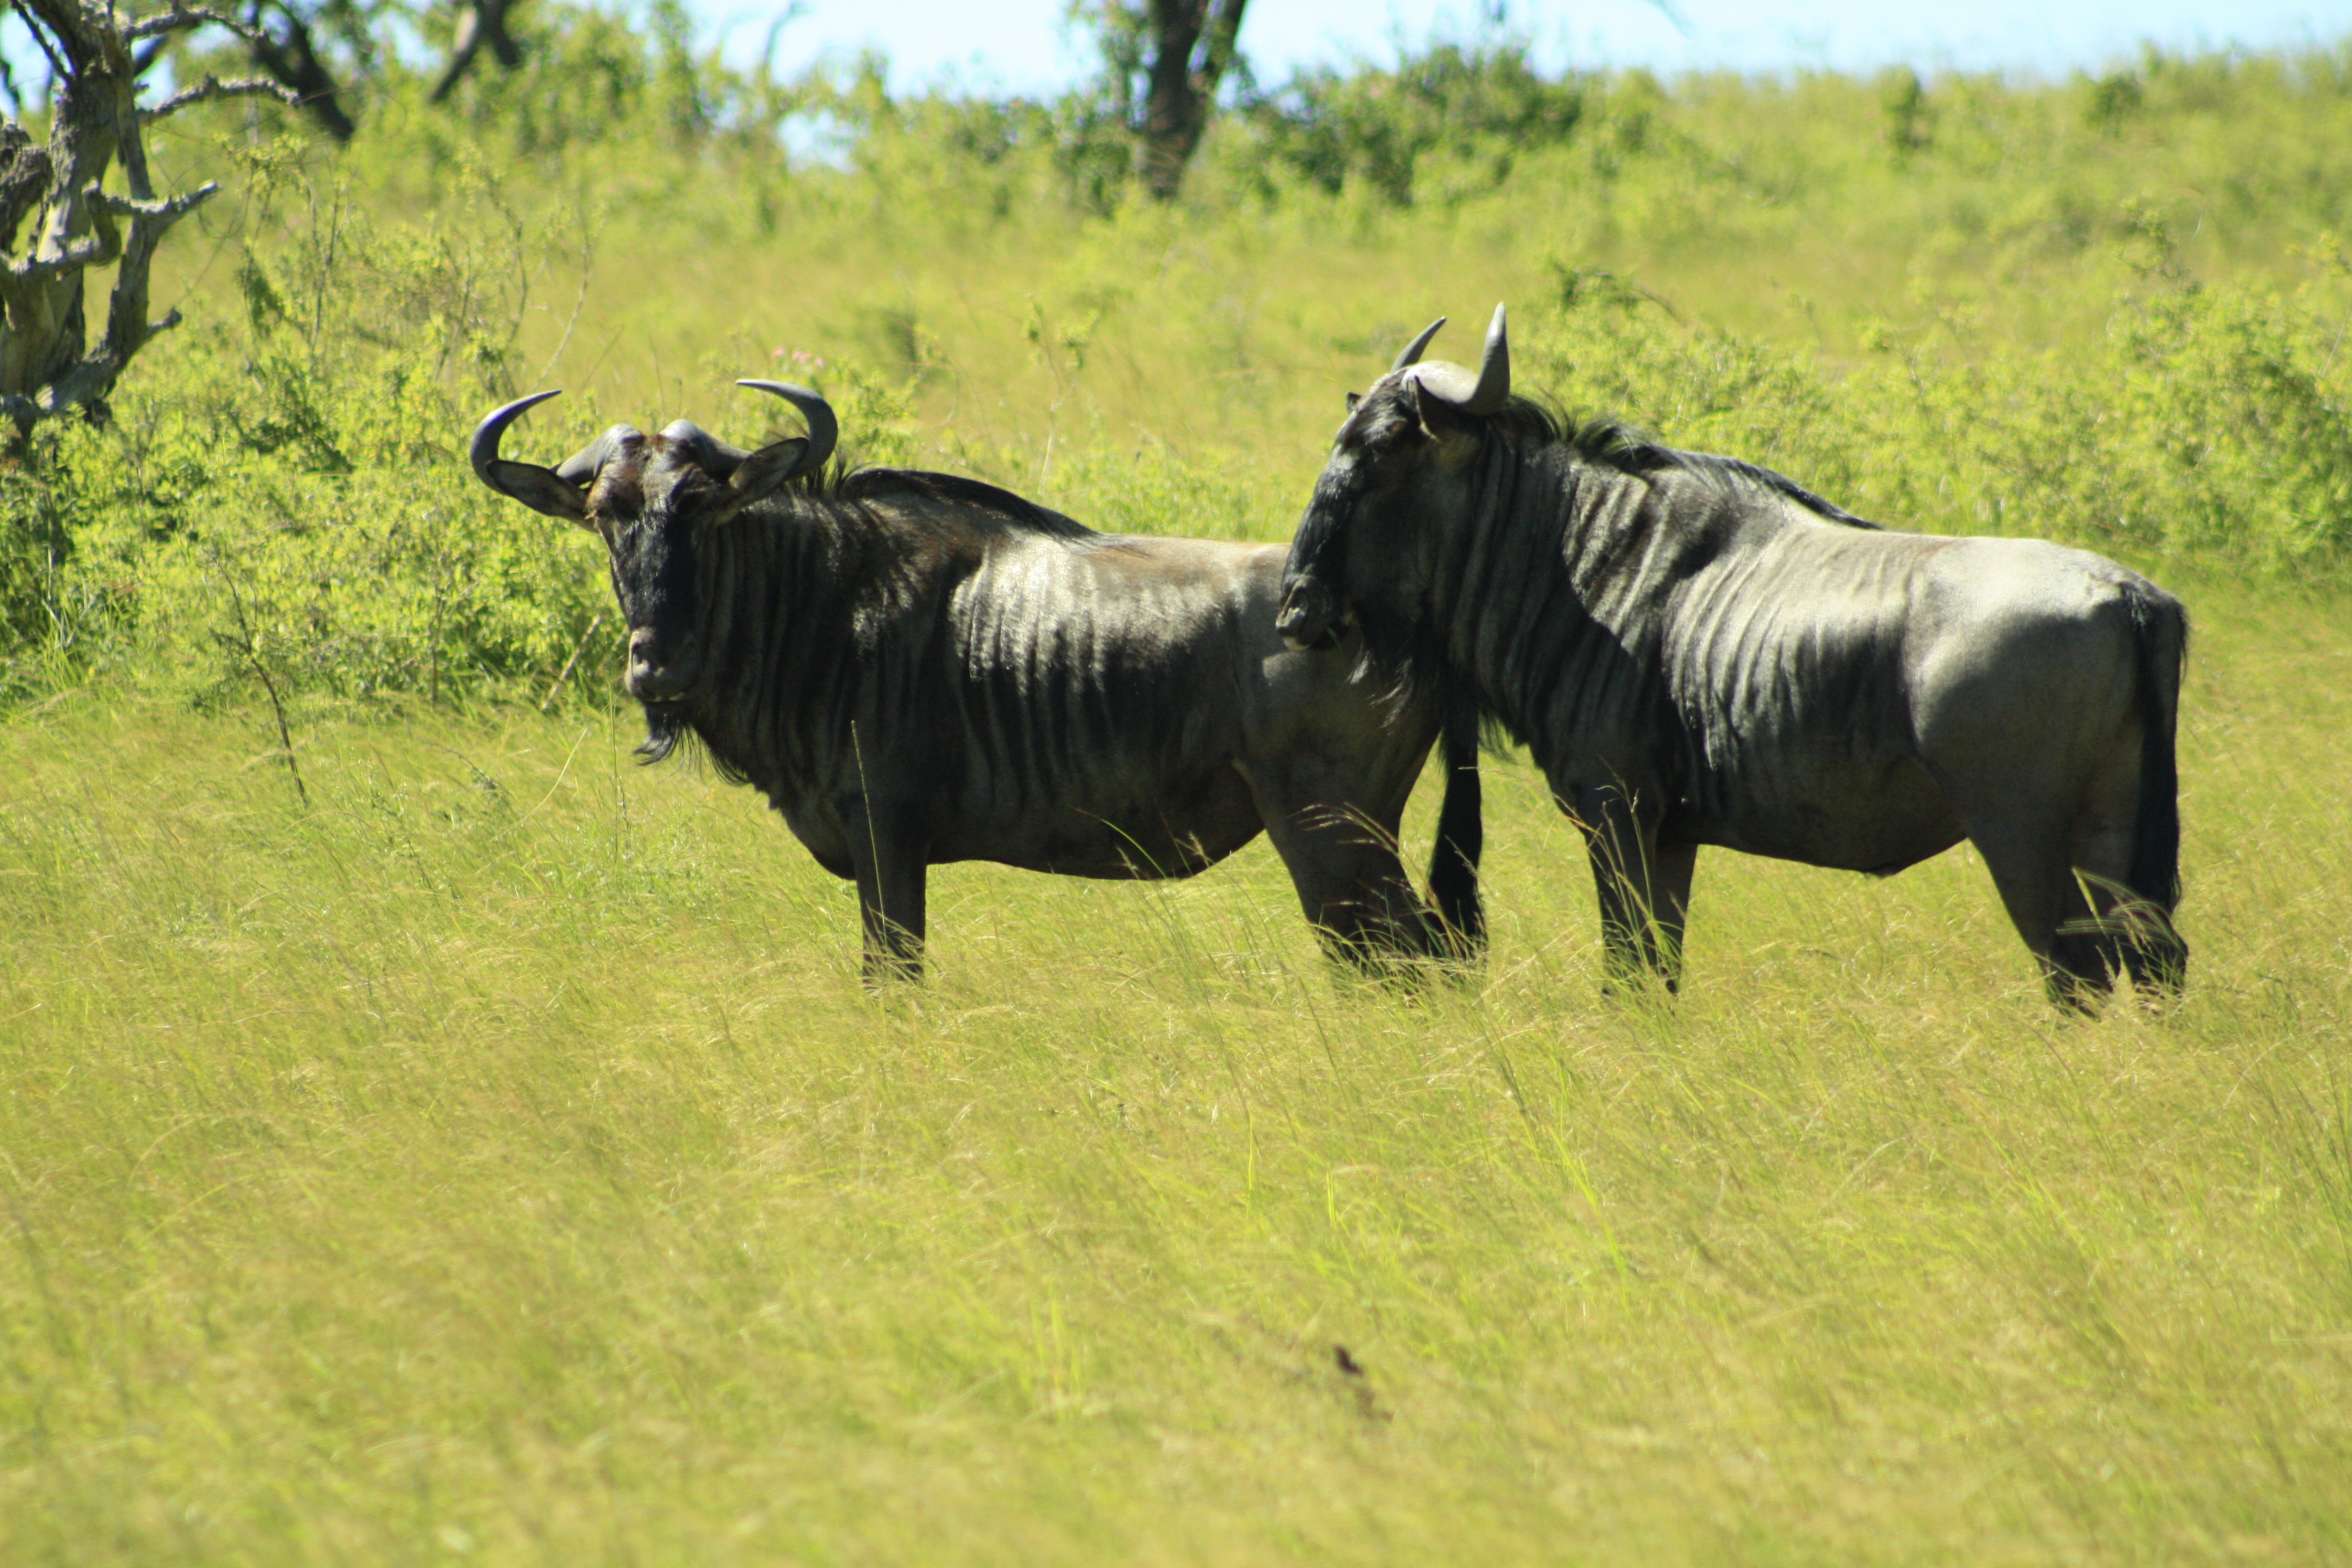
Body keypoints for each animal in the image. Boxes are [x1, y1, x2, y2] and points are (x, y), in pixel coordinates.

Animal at [469, 382, 1484, 982]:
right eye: (605, 515)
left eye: (702, 506)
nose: (658, 665)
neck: (827, 604)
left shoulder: (887, 834)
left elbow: (893, 977)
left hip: (1330, 840)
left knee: (1408, 963)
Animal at [1274, 306, 2188, 1009]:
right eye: (1341, 438)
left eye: (1385, 449)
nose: (1294, 609)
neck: (1595, 562)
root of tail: (2127, 594)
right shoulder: (1672, 836)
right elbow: (1658, 976)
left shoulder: (1615, 813)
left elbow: (1627, 973)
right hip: (2111, 827)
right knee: (2152, 960)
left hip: (2018, 832)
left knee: (2076, 971)